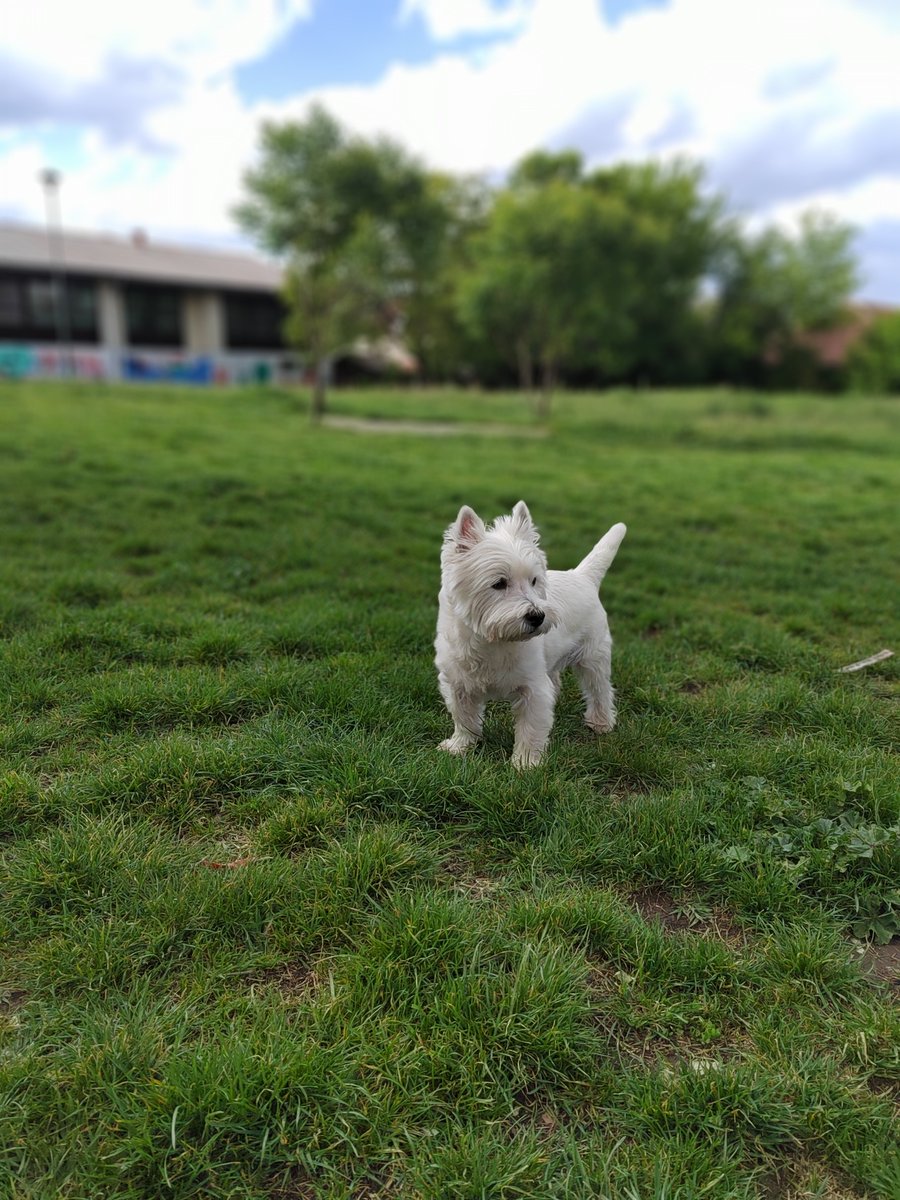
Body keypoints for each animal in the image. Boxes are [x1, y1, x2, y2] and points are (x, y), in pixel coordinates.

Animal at [436, 499, 628, 768]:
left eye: (534, 580)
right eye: (499, 583)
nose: (538, 617)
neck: (493, 640)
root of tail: (582, 575)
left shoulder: (532, 688)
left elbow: (530, 728)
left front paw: (525, 764)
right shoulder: (457, 682)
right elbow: (464, 717)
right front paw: (459, 746)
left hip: (593, 654)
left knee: (599, 688)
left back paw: (601, 722)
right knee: (558, 679)